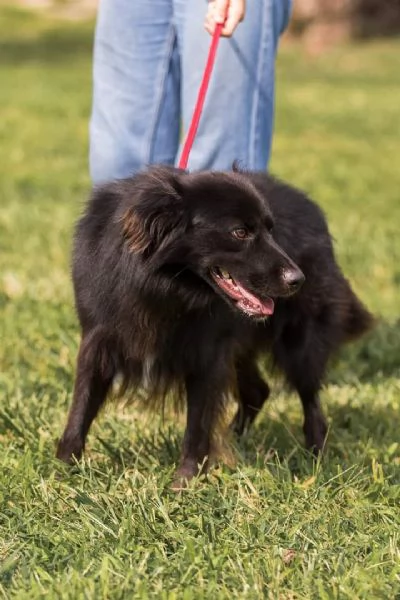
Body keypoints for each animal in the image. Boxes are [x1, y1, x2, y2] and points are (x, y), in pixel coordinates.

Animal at [57, 166, 376, 486]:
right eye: (240, 232)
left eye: (271, 230)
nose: (297, 279)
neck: (163, 287)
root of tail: (312, 208)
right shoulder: (99, 337)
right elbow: (82, 404)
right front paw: (63, 467)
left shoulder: (207, 351)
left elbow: (198, 422)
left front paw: (185, 482)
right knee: (258, 391)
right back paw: (233, 440)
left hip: (300, 343)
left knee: (310, 401)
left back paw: (317, 457)